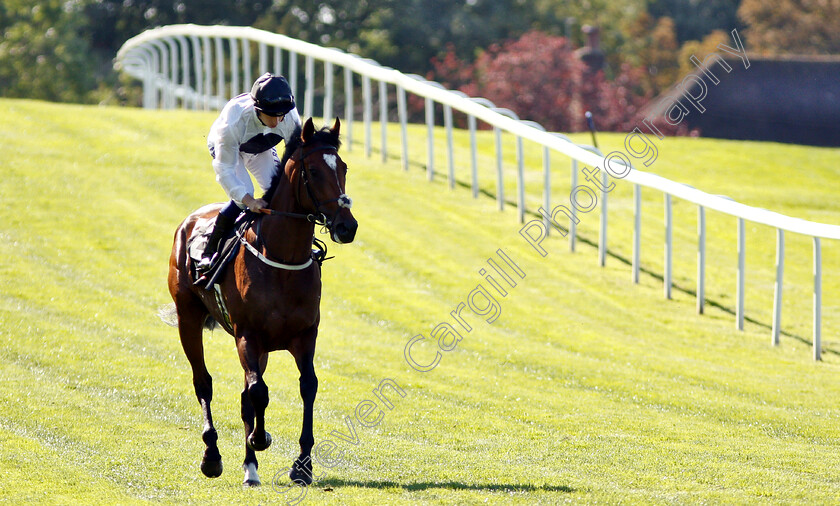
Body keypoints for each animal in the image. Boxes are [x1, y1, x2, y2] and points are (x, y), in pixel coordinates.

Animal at [166, 117, 356, 486]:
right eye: (313, 171)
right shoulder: (247, 335)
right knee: (204, 382)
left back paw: (250, 468)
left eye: (342, 167)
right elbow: (258, 392)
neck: (283, 258)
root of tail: (190, 221)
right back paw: (213, 456)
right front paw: (260, 438)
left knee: (244, 397)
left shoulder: (304, 336)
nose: (347, 226)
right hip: (188, 318)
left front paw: (302, 464)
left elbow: (306, 387)